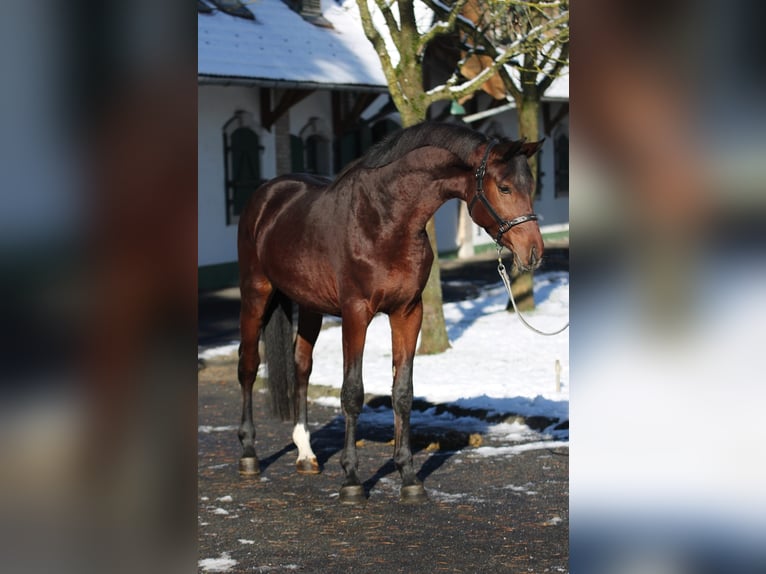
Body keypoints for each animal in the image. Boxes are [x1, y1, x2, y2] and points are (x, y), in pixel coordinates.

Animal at [237, 121, 544, 504]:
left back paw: (306, 454)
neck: (384, 219)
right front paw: (352, 480)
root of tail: (266, 196)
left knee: (301, 367)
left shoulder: (408, 312)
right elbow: (352, 393)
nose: (534, 251)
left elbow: (403, 393)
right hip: (255, 294)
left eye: (530, 186)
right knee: (249, 366)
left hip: (309, 305)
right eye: (504, 187)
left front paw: (409, 476)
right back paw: (249, 454)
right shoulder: (356, 313)